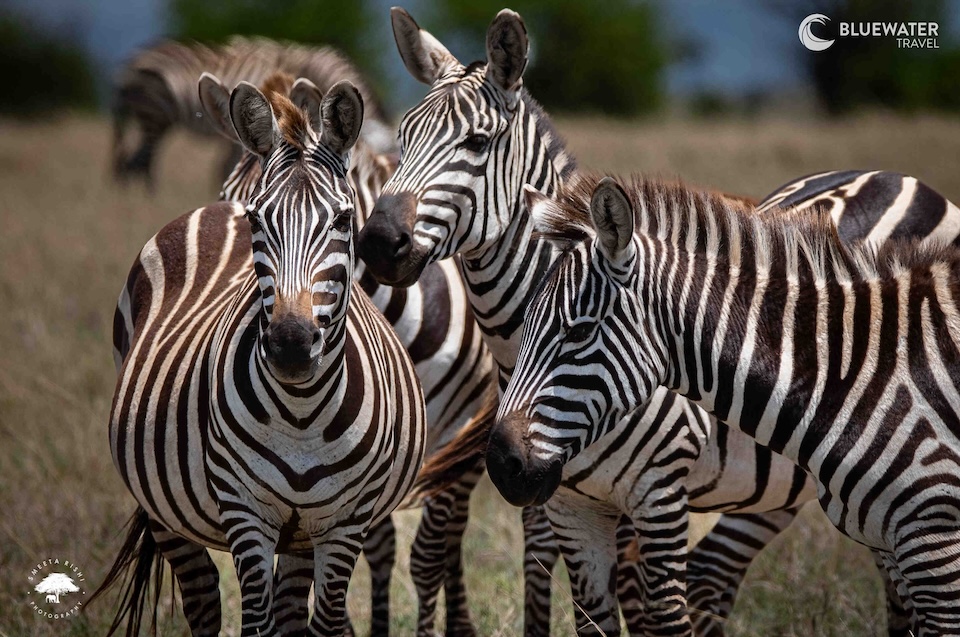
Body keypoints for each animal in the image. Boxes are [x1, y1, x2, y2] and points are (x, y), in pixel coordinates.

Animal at [97, 80, 428, 636]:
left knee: (290, 609)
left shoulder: (346, 521)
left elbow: (324, 620)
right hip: (162, 509)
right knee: (204, 600)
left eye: (344, 219)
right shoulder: (244, 511)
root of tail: (215, 209)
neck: (302, 413)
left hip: (301, 531)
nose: (291, 343)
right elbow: (254, 621)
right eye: (258, 219)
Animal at [192, 69, 497, 635]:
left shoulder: (445, 434)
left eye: (340, 220)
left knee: (451, 536)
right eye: (232, 207)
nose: (286, 338)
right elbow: (371, 548)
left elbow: (428, 552)